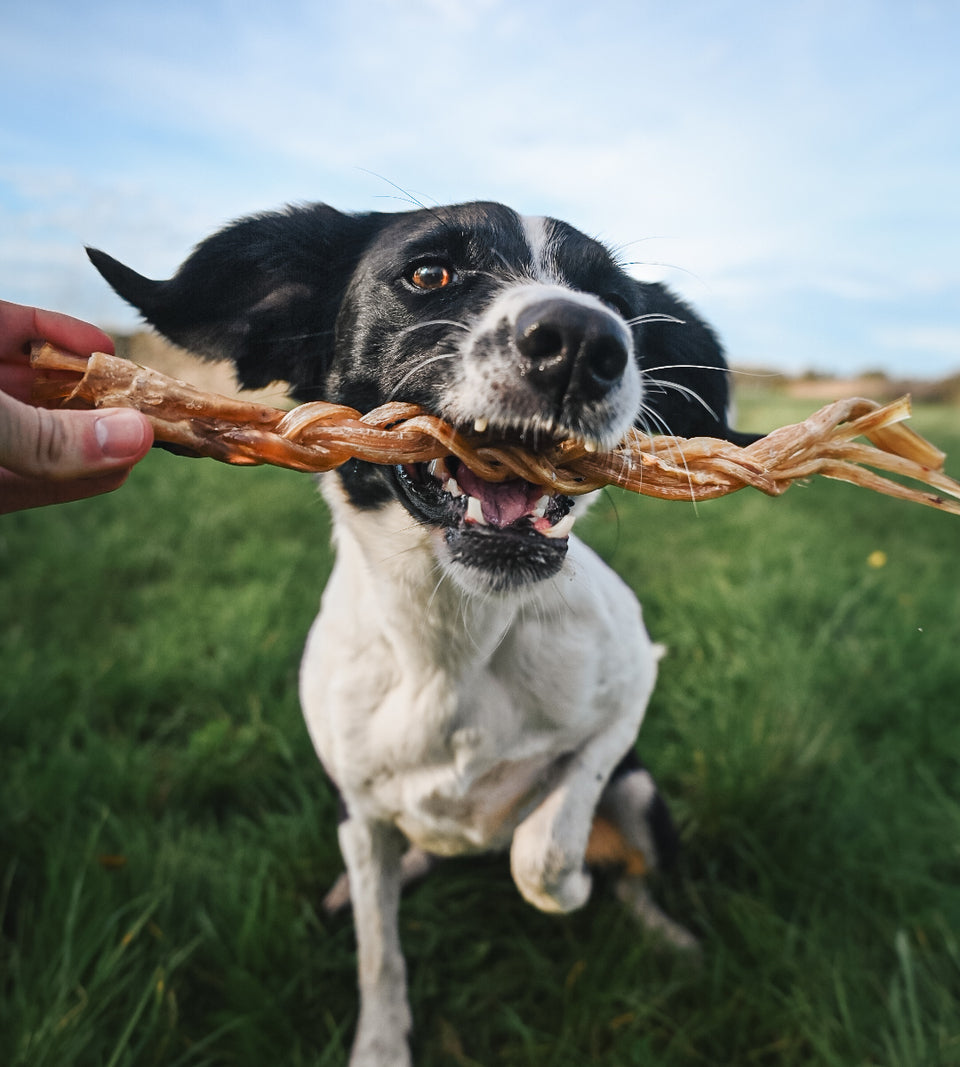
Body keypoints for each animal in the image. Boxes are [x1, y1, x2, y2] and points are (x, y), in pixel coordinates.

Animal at [86, 201, 755, 1067]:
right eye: (429, 272)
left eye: (616, 302)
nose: (584, 340)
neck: (452, 638)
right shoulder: (358, 804)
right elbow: (380, 952)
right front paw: (381, 1039)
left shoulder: (632, 687)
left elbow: (544, 848)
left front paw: (572, 881)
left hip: (642, 791)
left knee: (635, 870)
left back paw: (662, 931)